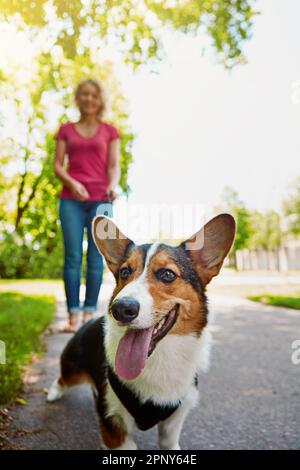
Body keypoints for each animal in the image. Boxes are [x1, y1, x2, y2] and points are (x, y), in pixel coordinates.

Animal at [47, 212, 234, 448]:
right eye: (125, 272)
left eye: (167, 274)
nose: (120, 309)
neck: (160, 358)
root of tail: (87, 322)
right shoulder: (112, 423)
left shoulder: (174, 420)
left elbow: (169, 442)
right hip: (73, 369)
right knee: (62, 378)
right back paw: (53, 393)